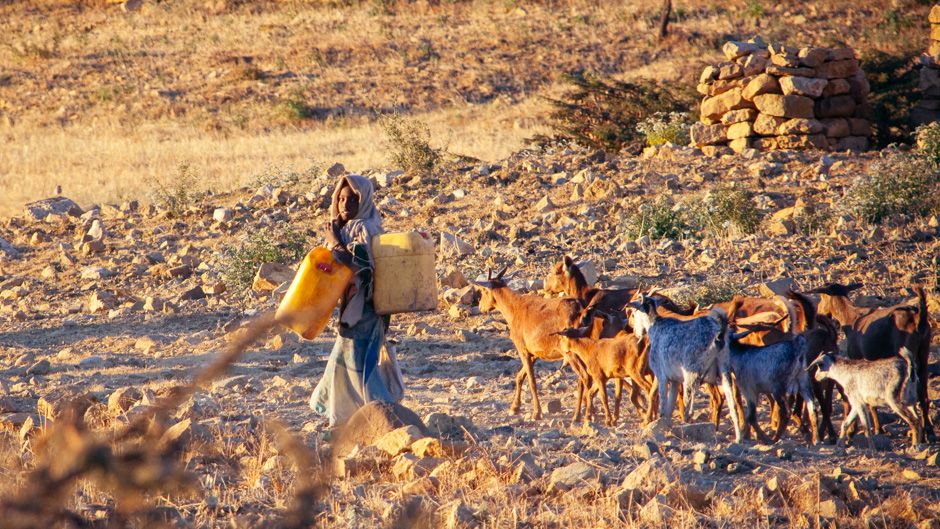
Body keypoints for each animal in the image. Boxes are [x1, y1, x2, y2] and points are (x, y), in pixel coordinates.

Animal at [474, 268, 584, 420]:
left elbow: (532, 381)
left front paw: (536, 413)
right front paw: (514, 407)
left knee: (584, 378)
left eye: (484, 290)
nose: (481, 307)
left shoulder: (522, 348)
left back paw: (577, 416)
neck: (513, 310)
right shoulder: (535, 352)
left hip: (572, 352)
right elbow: (520, 376)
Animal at [636, 292, 744, 442]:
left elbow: (663, 405)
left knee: (688, 406)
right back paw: (738, 438)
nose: (636, 332)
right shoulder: (675, 381)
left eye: (633, 312)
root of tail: (719, 336)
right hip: (724, 370)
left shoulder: (662, 376)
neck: (656, 325)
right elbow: (669, 408)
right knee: (732, 404)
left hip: (691, 374)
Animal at [808, 282, 932, 440]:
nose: (819, 312)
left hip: (910, 353)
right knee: (923, 391)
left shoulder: (859, 359)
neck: (852, 318)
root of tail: (918, 319)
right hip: (924, 352)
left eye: (823, 297)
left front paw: (865, 429)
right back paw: (929, 431)